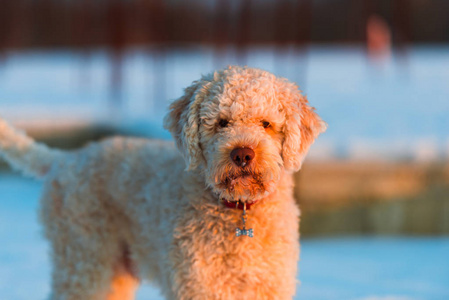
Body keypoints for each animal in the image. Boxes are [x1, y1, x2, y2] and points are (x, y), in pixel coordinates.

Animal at [0, 66, 324, 300]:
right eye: (221, 122)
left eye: (266, 124)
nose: (242, 154)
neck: (239, 212)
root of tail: (64, 160)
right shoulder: (198, 285)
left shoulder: (270, 283)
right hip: (85, 260)